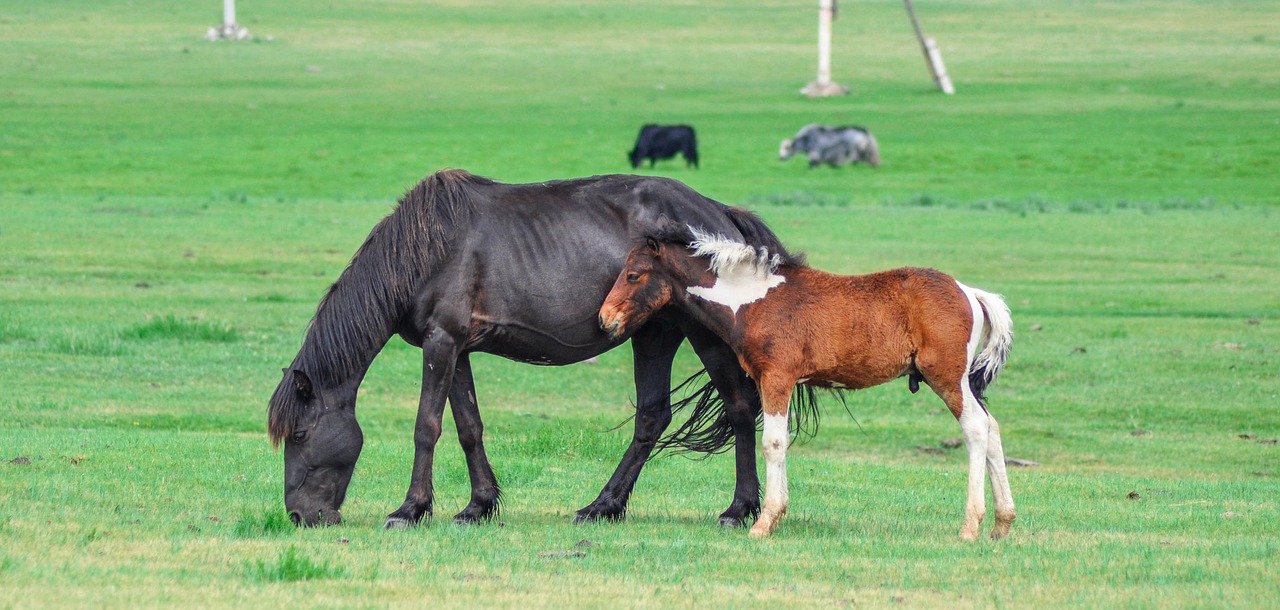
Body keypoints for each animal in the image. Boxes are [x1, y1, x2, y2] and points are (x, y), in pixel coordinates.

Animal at [268, 167, 788, 526]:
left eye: (300, 434)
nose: (298, 515)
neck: (426, 250)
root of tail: (721, 213)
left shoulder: (440, 344)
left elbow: (426, 427)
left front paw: (410, 509)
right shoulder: (456, 349)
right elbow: (468, 427)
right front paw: (478, 506)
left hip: (704, 336)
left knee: (740, 409)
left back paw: (738, 508)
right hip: (654, 334)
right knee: (652, 417)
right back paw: (603, 505)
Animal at [601, 227, 1018, 537]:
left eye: (633, 275)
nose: (605, 319)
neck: (754, 299)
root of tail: (969, 292)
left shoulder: (777, 377)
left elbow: (772, 443)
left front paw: (764, 522)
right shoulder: (772, 380)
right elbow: (779, 442)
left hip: (946, 377)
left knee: (976, 428)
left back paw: (971, 526)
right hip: (960, 381)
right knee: (992, 426)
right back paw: (1002, 523)